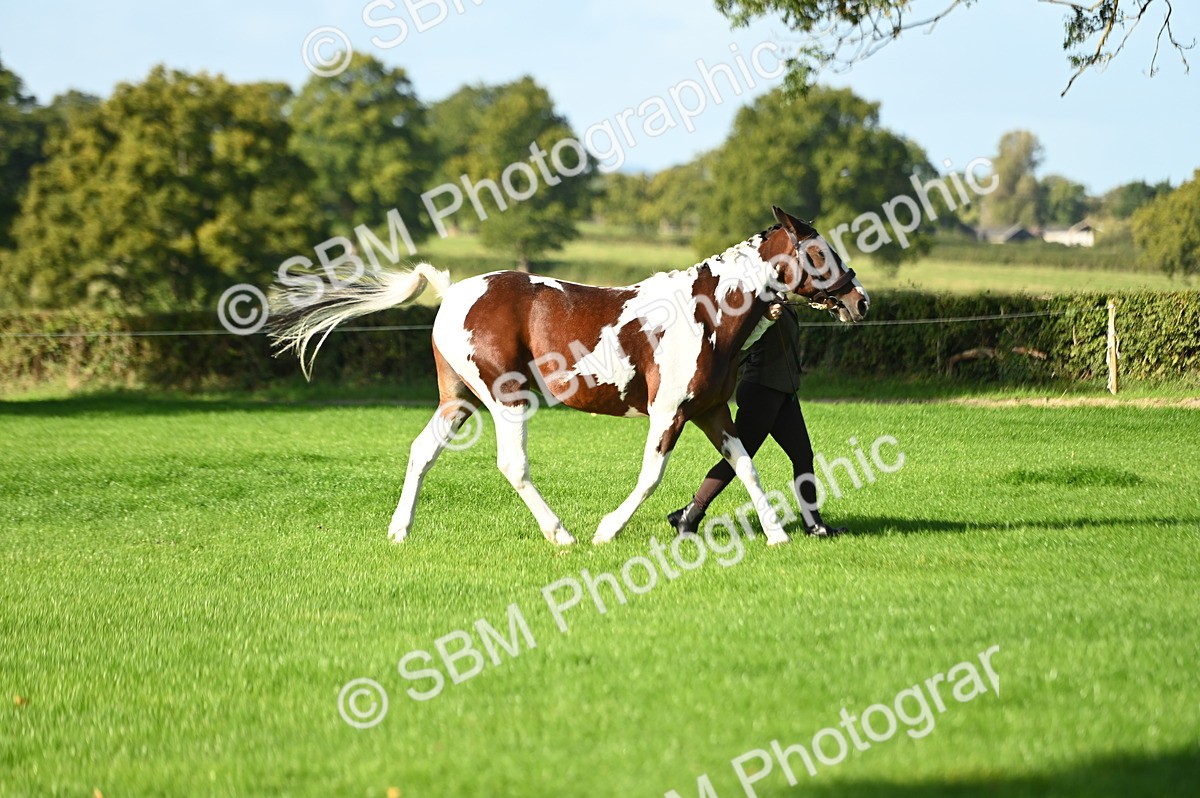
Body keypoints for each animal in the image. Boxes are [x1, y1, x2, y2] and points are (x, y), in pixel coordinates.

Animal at [269, 206, 869, 546]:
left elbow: (744, 466)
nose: (860, 301)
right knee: (512, 466)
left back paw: (400, 532)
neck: (709, 314)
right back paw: (562, 535)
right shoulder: (668, 412)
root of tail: (454, 291)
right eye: (820, 252)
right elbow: (652, 475)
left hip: (458, 400)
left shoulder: (712, 412)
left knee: (422, 452)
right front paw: (608, 530)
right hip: (506, 399)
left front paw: (776, 535)